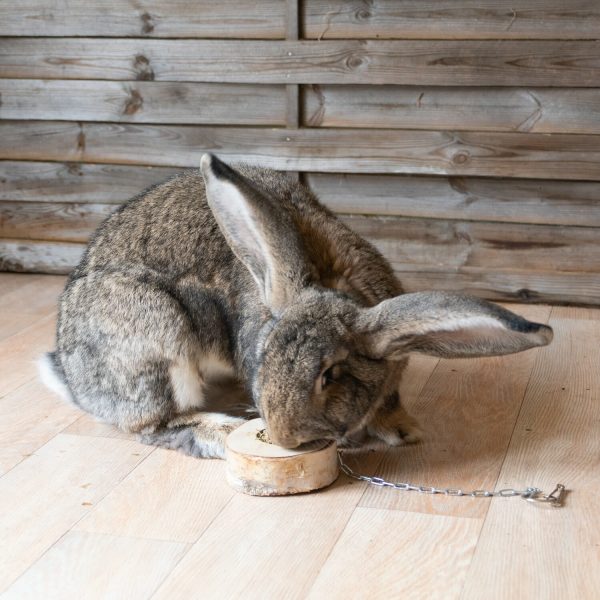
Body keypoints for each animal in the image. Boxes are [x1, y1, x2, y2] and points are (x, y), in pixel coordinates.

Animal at [38, 152, 552, 458]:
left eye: (331, 374)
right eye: (264, 355)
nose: (284, 439)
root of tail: (76, 380)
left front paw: (405, 430)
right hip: (156, 332)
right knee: (156, 424)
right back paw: (221, 432)